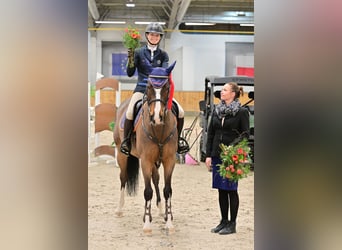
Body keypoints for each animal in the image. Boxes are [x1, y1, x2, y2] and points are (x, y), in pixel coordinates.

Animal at [114, 61, 179, 232]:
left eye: (166, 87)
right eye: (149, 86)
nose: (156, 117)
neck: (159, 128)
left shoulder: (169, 160)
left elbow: (167, 190)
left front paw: (169, 221)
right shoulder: (145, 160)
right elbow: (147, 191)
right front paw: (147, 224)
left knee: (155, 179)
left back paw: (161, 210)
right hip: (121, 155)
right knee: (123, 178)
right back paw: (119, 209)